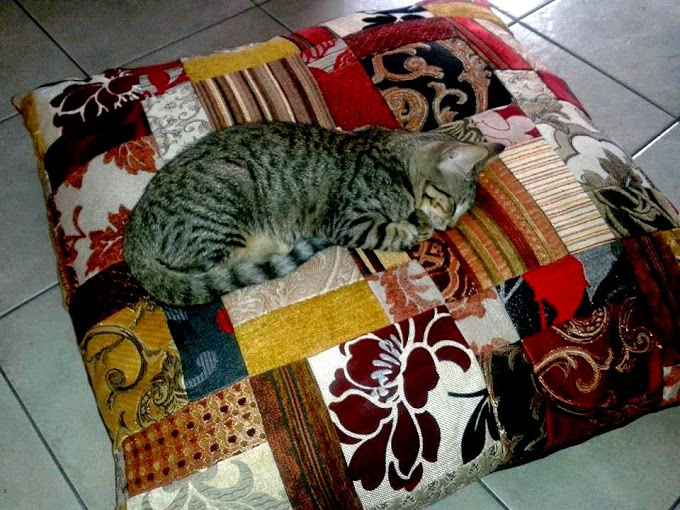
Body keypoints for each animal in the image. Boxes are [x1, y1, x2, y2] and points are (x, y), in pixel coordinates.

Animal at [124, 121, 503, 306]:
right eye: (453, 205)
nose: (450, 225)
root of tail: (133, 234)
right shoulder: (348, 220)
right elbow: (391, 230)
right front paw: (417, 227)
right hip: (226, 197)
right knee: (218, 271)